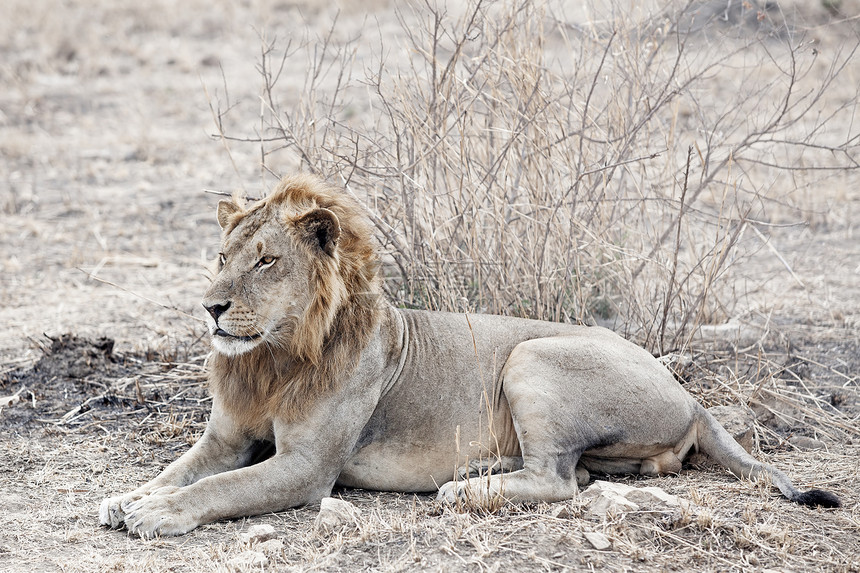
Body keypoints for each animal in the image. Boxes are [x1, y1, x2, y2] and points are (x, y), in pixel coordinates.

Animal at [99, 172, 840, 536]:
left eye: (265, 262)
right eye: (222, 257)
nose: (212, 307)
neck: (271, 359)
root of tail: (689, 393)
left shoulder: (308, 467)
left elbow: (218, 487)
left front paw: (157, 515)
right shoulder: (225, 437)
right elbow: (178, 470)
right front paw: (127, 498)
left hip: (532, 357)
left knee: (560, 481)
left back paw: (465, 488)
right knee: (573, 471)